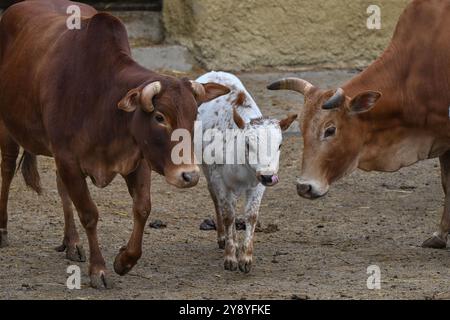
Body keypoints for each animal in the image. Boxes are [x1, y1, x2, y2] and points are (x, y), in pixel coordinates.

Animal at [0, 0, 229, 288]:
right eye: (159, 117)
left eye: (194, 115)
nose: (189, 175)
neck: (102, 101)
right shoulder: (69, 159)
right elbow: (90, 213)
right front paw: (98, 270)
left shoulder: (137, 160)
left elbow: (142, 208)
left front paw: (124, 260)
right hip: (8, 129)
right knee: (7, 171)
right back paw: (2, 229)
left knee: (61, 188)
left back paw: (71, 242)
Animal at [196, 72, 296, 272]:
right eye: (249, 144)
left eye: (280, 145)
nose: (268, 176)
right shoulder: (219, 179)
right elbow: (228, 215)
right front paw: (230, 258)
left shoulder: (258, 183)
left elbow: (251, 215)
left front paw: (245, 258)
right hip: (206, 168)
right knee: (217, 200)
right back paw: (223, 237)